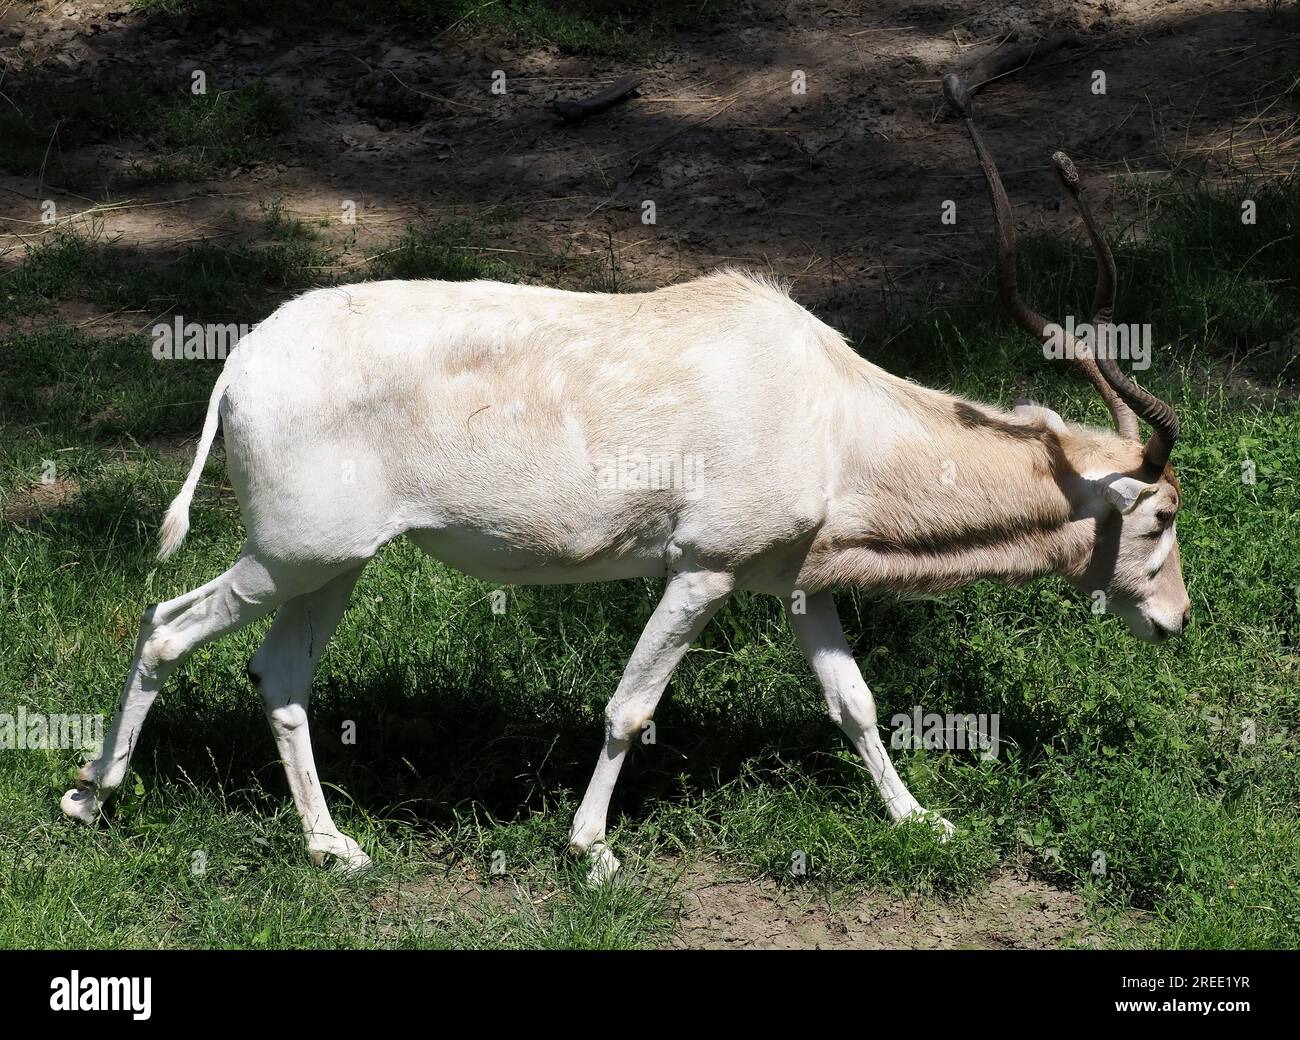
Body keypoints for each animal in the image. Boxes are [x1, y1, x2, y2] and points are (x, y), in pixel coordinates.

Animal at [61, 76, 1188, 881]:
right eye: (1162, 516)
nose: (1175, 621)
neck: (826, 407)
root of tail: (240, 363)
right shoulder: (703, 568)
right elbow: (629, 708)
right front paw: (590, 847)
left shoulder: (797, 579)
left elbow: (856, 702)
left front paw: (922, 819)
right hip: (294, 554)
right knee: (165, 622)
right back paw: (91, 794)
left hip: (332, 566)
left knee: (281, 676)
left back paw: (330, 846)